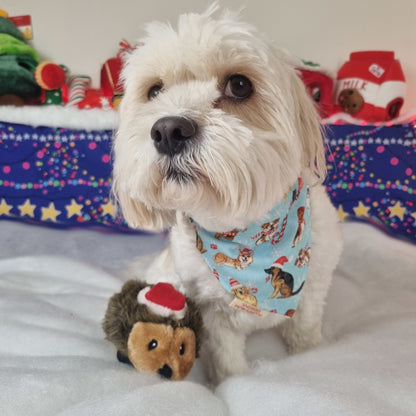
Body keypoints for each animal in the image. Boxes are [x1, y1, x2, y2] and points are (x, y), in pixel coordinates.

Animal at [112, 5, 342, 384]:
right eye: (154, 91)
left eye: (239, 85)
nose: (168, 130)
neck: (247, 232)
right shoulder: (212, 312)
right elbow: (227, 358)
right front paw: (232, 382)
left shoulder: (313, 291)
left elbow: (305, 332)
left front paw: (309, 358)